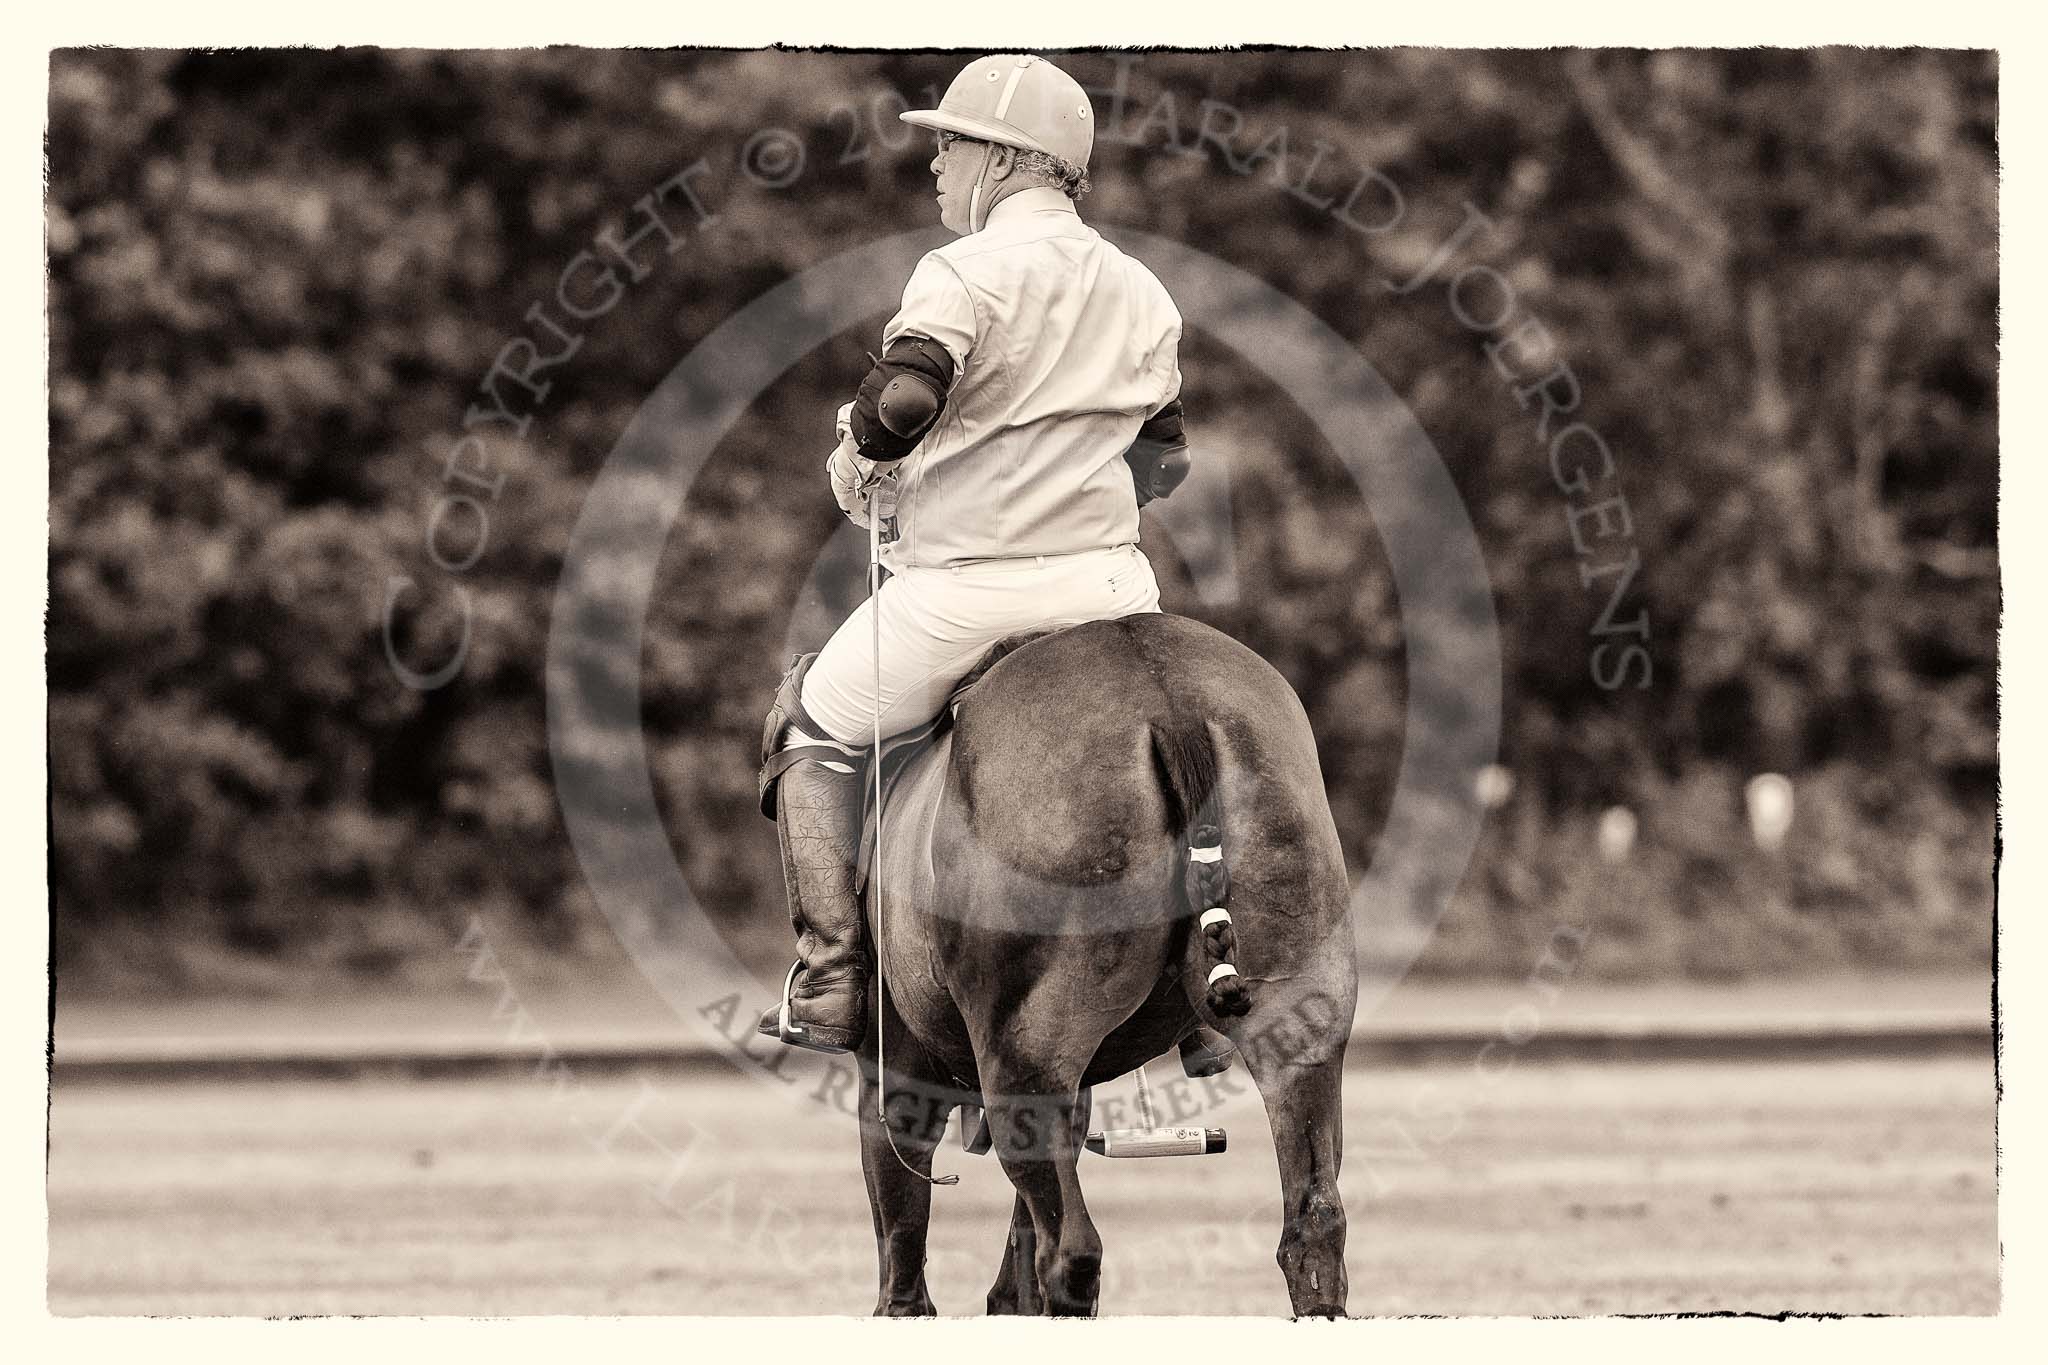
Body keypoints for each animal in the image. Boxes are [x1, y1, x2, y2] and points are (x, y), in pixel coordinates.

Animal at [847, 609, 1359, 1309]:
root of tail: (1172, 706)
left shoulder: (894, 1055)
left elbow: (902, 1221)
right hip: (1298, 1011)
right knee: (1315, 1223)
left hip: (1022, 1051)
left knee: (1071, 1251)